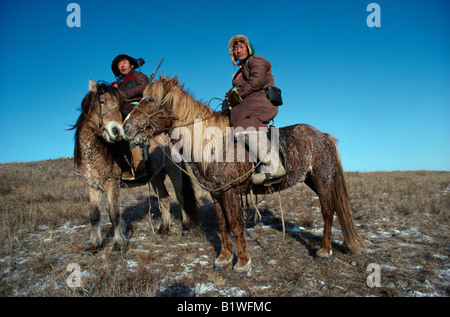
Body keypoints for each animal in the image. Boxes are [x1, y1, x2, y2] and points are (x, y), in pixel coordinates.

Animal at [73, 78, 198, 249]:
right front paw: (93, 244)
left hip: (174, 171)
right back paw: (163, 229)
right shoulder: (92, 185)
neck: (96, 152)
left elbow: (114, 214)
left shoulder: (112, 183)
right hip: (156, 178)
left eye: (118, 106)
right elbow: (94, 215)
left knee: (180, 196)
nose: (117, 131)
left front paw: (118, 244)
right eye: (101, 101)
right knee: (164, 198)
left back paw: (185, 227)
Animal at [121, 75, 364, 270]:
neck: (213, 144)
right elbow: (223, 225)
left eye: (151, 100)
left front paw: (243, 261)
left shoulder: (229, 192)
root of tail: (323, 135)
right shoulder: (216, 193)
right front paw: (224, 258)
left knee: (327, 211)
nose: (126, 127)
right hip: (311, 179)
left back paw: (324, 250)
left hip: (323, 179)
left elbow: (236, 225)